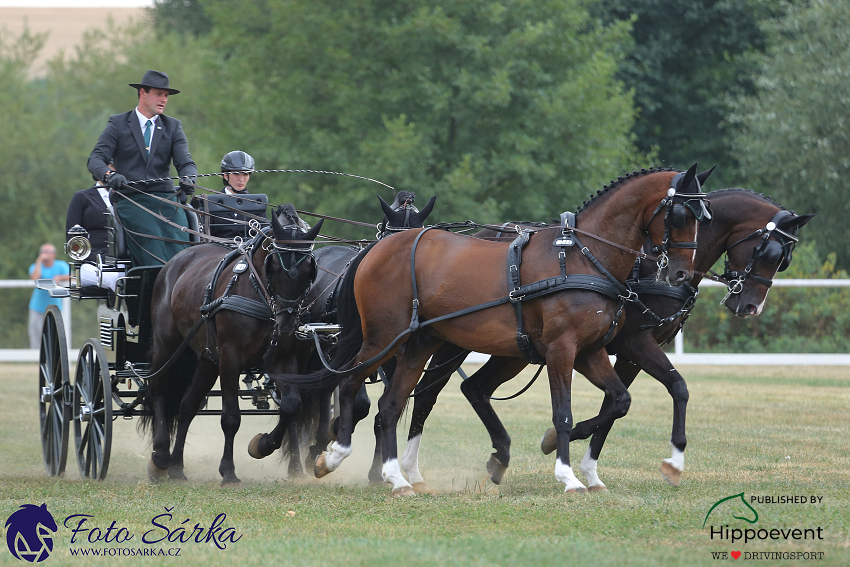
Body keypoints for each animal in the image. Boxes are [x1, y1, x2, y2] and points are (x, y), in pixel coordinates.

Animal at [142, 204, 322, 484]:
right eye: (275, 267)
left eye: (308, 271)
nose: (287, 323)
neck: (260, 293)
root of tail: (176, 260)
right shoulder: (230, 357)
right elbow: (230, 417)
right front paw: (228, 471)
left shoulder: (285, 358)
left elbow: (291, 405)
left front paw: (263, 445)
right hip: (167, 344)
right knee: (158, 390)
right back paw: (160, 457)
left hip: (207, 358)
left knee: (187, 406)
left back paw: (177, 467)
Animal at [243, 193, 434, 478]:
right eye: (391, 240)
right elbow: (360, 403)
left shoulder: (394, 358)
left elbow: (382, 408)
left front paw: (375, 471)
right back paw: (300, 457)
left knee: (321, 391)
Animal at [278, 166, 708, 494]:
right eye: (681, 215)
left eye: (704, 217)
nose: (680, 274)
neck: (584, 258)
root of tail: (377, 249)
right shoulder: (562, 349)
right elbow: (563, 413)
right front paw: (568, 476)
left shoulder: (589, 351)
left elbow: (619, 400)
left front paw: (561, 455)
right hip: (384, 340)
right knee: (352, 385)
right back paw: (334, 456)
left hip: (419, 344)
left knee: (391, 405)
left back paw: (396, 477)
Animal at [394, 189, 812, 490]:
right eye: (768, 251)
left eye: (784, 259)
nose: (749, 306)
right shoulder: (631, 345)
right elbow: (657, 391)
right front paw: (558, 445)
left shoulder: (625, 354)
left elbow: (630, 400)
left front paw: (591, 469)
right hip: (454, 340)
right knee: (427, 392)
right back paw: (408, 469)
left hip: (513, 351)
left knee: (474, 389)